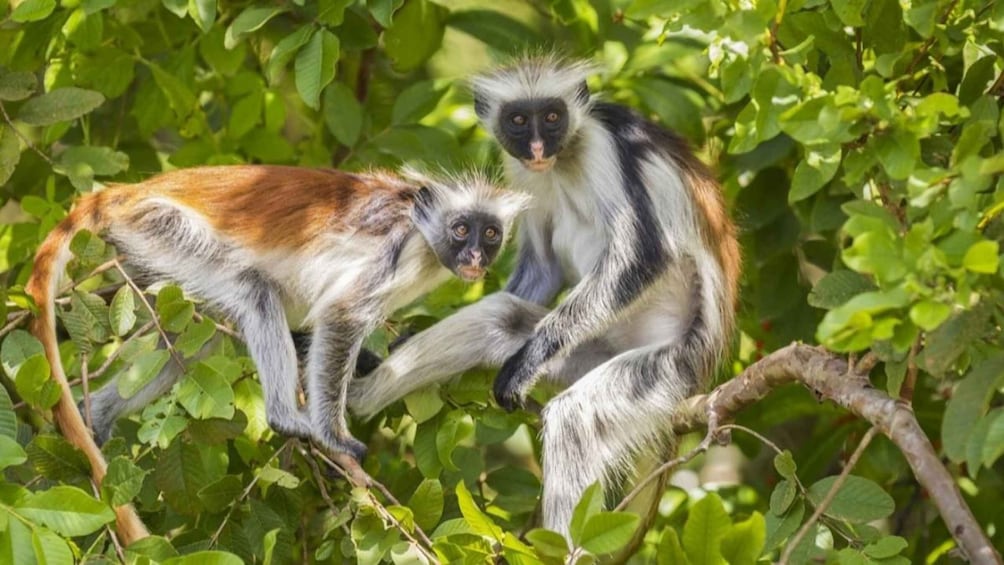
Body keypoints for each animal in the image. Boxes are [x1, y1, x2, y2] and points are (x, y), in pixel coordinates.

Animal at [26, 165, 528, 544]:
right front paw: (334, 436)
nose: (476, 256)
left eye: (490, 233)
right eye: (460, 230)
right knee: (255, 290)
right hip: (159, 225)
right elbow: (340, 315)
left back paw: (98, 414)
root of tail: (131, 191)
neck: (421, 229)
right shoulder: (395, 249)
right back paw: (286, 417)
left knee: (196, 339)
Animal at [349, 57, 741, 539]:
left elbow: (644, 255)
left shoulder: (604, 146)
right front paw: (401, 342)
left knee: (575, 419)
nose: (537, 146)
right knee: (500, 317)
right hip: (588, 353)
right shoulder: (520, 170)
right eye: (519, 120)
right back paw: (354, 396)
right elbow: (542, 268)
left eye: (553, 116)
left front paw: (527, 361)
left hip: (670, 364)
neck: (563, 158)